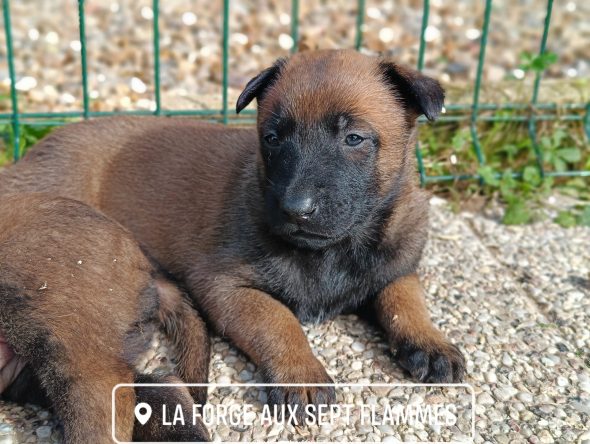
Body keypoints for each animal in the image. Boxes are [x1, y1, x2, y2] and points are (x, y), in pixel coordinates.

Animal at [0, 50, 468, 418]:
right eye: (272, 138)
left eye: (354, 138)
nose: (295, 209)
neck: (332, 251)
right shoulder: (224, 286)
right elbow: (277, 320)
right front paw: (300, 372)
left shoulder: (397, 263)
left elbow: (404, 298)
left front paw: (429, 341)